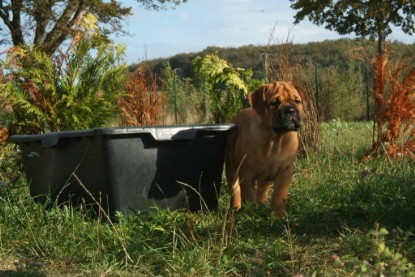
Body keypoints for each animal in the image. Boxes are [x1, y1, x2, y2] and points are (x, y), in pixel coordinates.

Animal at [226, 80, 304, 218]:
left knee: (262, 188)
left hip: (265, 177)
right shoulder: (246, 174)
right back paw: (236, 207)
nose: (290, 110)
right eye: (274, 103)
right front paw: (251, 213)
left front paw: (279, 214)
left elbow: (279, 194)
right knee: (234, 188)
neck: (275, 140)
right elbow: (248, 195)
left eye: (297, 101)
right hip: (232, 168)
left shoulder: (285, 171)